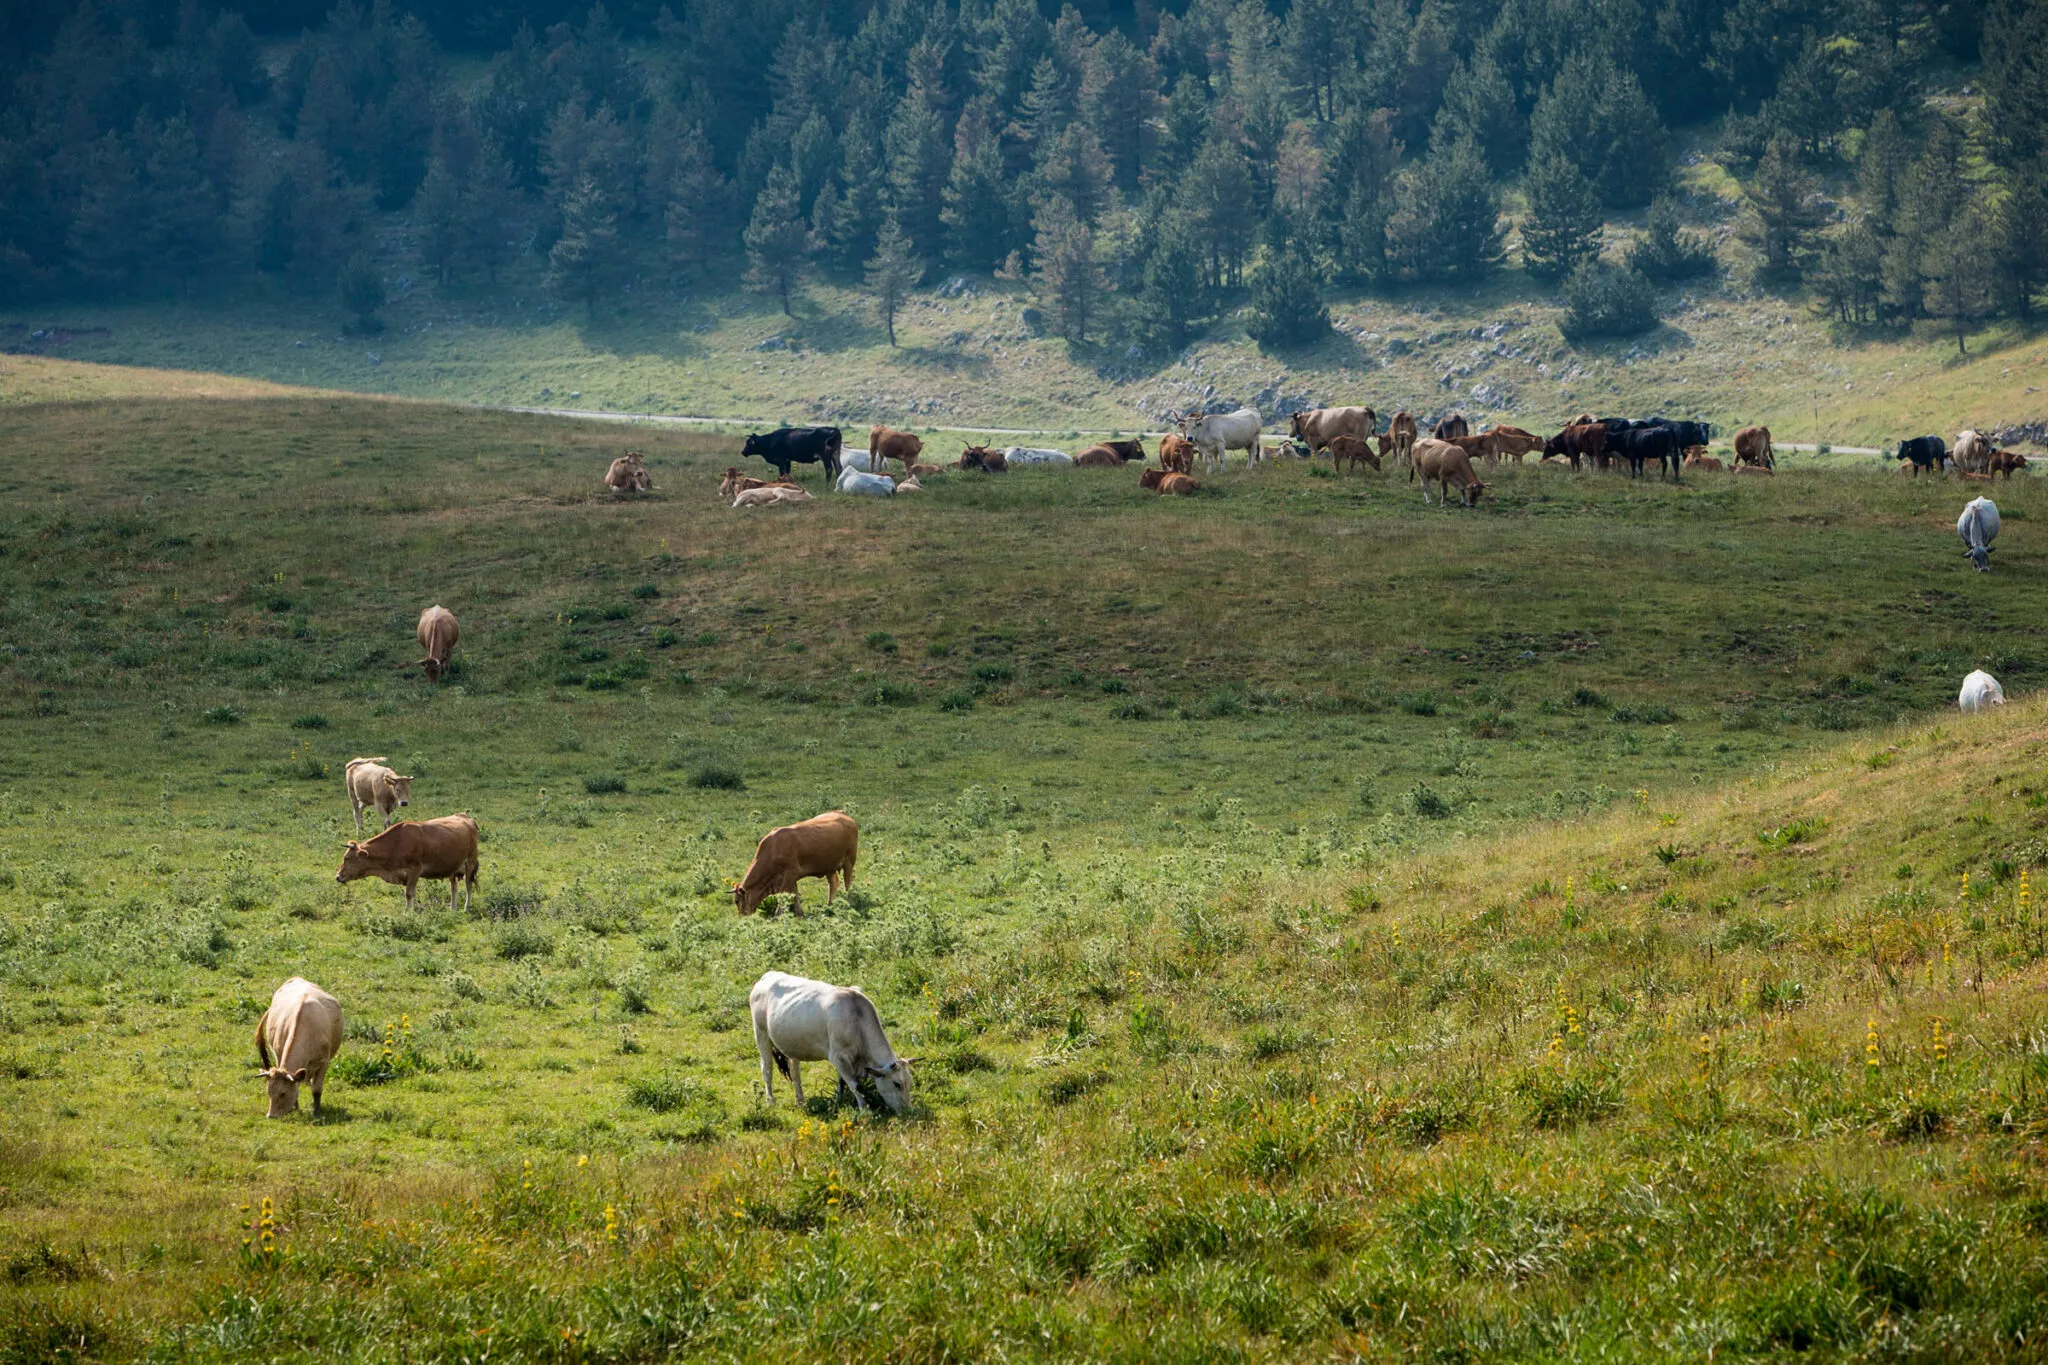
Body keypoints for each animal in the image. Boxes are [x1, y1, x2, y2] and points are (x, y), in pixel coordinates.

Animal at [253, 982, 342, 1121]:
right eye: (269, 1092)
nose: (271, 1116)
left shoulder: (324, 1063)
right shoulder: (279, 1055)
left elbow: (316, 1089)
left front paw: (316, 1112)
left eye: (283, 1093)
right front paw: (295, 1108)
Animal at [335, 818, 479, 912]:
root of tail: (466, 818)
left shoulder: (414, 870)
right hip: (453, 868)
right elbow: (413, 893)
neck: (396, 844)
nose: (338, 876)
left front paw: (407, 912)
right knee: (454, 888)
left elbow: (409, 893)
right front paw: (414, 911)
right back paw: (453, 909)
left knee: (468, 885)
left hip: (470, 861)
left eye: (347, 858)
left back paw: (467, 907)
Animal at [749, 970, 917, 1113]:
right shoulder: (838, 1056)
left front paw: (839, 1100)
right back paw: (770, 1101)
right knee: (767, 1069)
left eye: (910, 1083)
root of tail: (768, 976)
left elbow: (842, 1081)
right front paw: (865, 1109)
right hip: (761, 1034)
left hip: (791, 1043)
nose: (908, 1111)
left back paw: (801, 1101)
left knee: (794, 1072)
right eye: (897, 1084)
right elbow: (854, 1084)